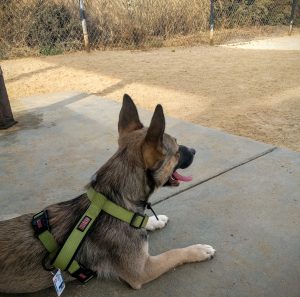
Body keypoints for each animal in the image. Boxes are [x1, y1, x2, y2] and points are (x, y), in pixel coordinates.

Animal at [0, 94, 216, 292]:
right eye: (177, 150)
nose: (194, 150)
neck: (113, 202)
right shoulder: (142, 270)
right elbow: (174, 253)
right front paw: (199, 250)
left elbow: (146, 221)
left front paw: (155, 220)